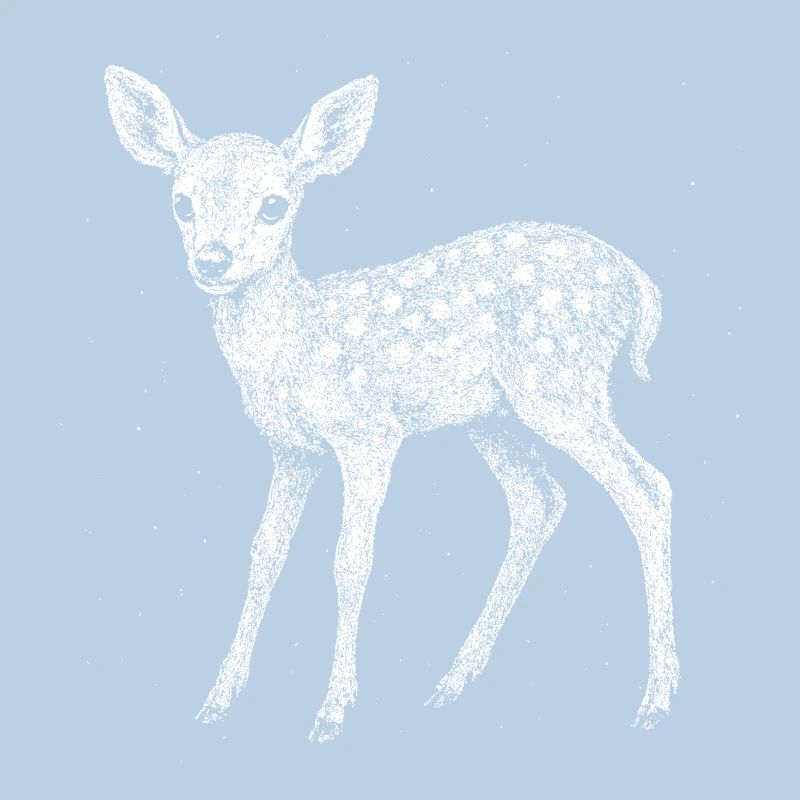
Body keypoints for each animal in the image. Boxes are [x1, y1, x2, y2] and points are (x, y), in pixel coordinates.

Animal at [104, 65, 679, 742]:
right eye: (182, 202)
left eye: (274, 204)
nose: (213, 260)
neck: (296, 343)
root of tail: (639, 285)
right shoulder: (292, 449)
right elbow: (264, 552)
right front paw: (219, 697)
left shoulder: (368, 432)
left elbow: (350, 559)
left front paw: (332, 709)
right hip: (495, 416)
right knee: (539, 501)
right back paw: (452, 682)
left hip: (560, 383)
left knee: (646, 488)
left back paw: (657, 698)